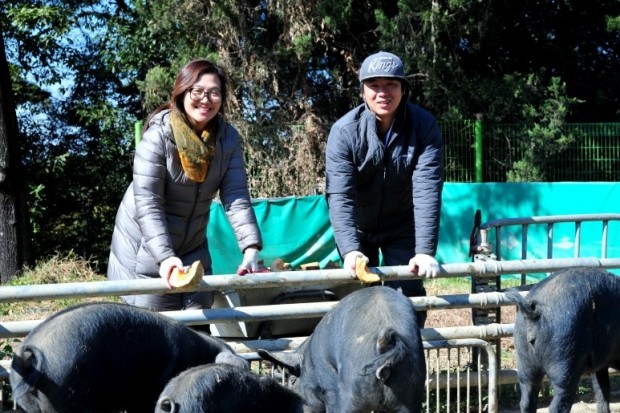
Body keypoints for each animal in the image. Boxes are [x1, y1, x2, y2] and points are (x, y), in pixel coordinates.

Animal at [258, 284, 426, 412]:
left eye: (293, 381)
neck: (309, 361)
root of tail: (383, 343)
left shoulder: (328, 380)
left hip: (353, 390)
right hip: (409, 387)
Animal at [506, 266, 620, 410]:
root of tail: (533, 312)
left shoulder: (600, 364)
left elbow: (602, 391)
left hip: (523, 356)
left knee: (526, 398)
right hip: (564, 356)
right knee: (558, 402)